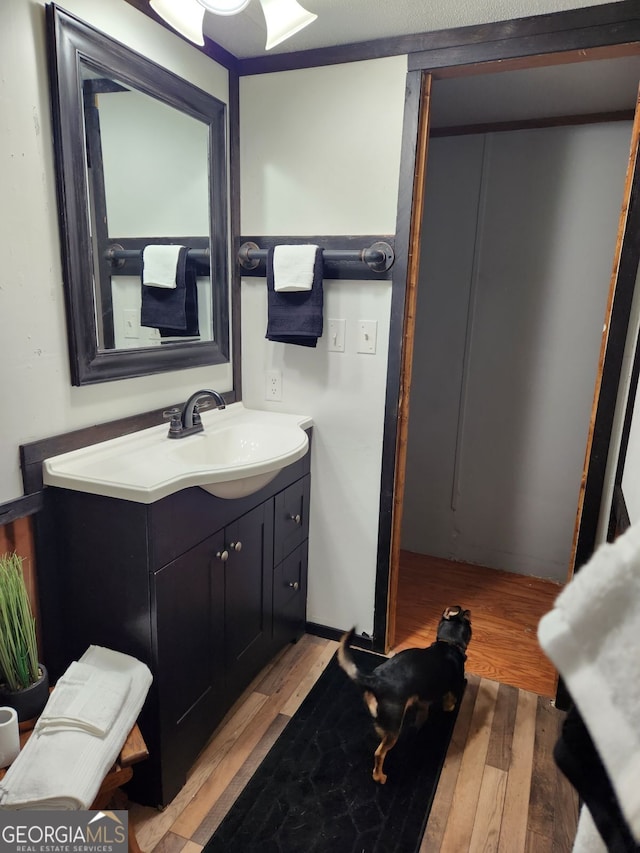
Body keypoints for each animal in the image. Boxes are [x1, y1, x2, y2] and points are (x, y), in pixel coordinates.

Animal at [340, 608, 470, 784]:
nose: (468, 612)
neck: (448, 643)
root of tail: (374, 680)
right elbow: (450, 703)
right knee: (379, 753)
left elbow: (422, 713)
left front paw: (420, 724)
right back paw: (379, 777)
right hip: (394, 726)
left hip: (385, 721)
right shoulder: (453, 691)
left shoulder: (423, 700)